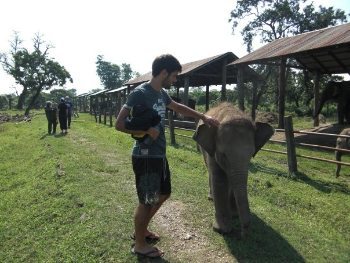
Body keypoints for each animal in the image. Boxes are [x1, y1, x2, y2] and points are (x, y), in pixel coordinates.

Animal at [194, 102, 274, 239]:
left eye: (251, 154)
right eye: (223, 155)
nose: (243, 234)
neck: (230, 114)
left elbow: (233, 180)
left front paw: (235, 214)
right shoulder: (212, 152)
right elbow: (219, 179)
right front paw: (222, 230)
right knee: (211, 173)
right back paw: (211, 198)